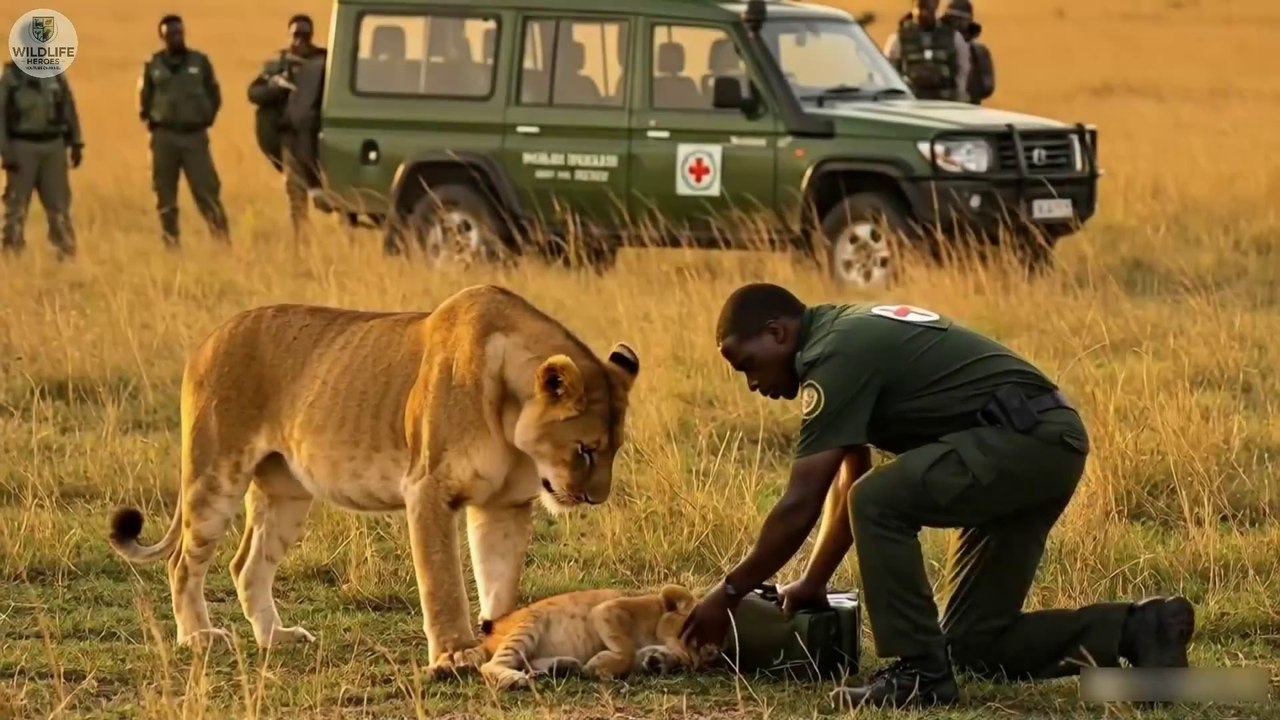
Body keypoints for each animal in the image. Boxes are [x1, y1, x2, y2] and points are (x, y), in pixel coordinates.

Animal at [105, 284, 640, 678]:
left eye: (614, 449)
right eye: (585, 449)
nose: (595, 498)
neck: (512, 425)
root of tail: (211, 336)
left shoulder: (501, 507)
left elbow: (499, 581)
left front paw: (503, 639)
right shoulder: (428, 489)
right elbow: (443, 581)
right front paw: (455, 654)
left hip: (287, 492)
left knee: (247, 564)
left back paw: (276, 638)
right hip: (216, 473)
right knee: (182, 561)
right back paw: (198, 637)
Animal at [478, 584, 714, 690]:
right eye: (695, 639)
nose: (694, 665)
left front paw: (657, 663)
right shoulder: (608, 609)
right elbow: (626, 649)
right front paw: (598, 666)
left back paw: (561, 667)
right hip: (530, 623)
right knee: (488, 666)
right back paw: (516, 679)